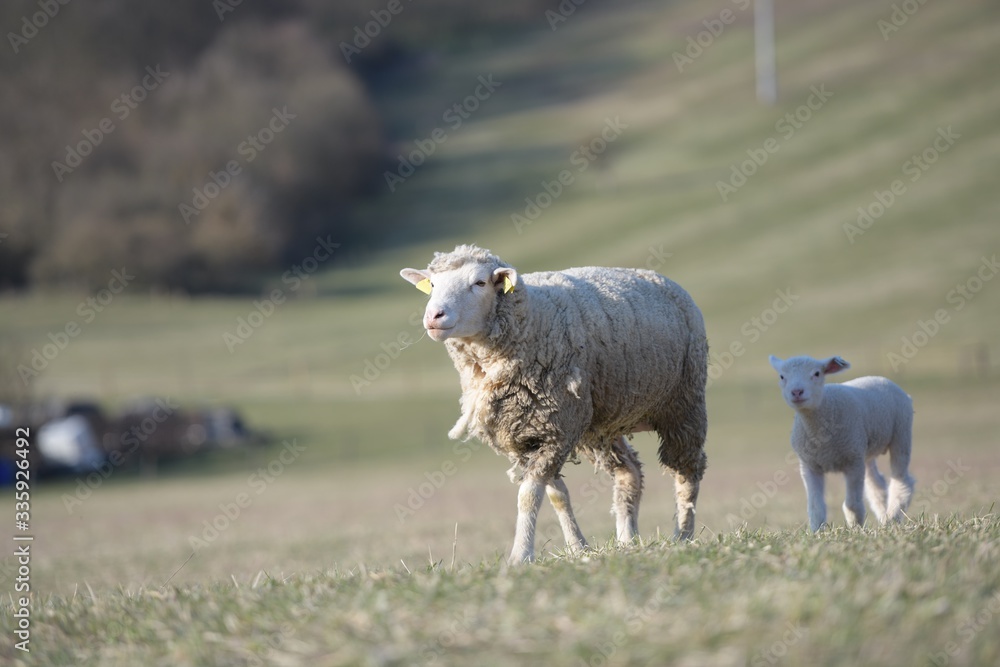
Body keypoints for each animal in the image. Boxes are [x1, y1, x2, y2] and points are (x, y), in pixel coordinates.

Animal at [400, 244, 708, 563]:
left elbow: (528, 496)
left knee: (687, 472)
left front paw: (520, 555)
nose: (434, 316)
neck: (532, 320)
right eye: (432, 284)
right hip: (601, 424)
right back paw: (628, 540)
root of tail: (661, 278)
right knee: (630, 472)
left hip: (683, 402)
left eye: (479, 282)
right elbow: (556, 495)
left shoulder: (555, 429)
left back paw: (683, 535)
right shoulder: (528, 435)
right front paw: (578, 547)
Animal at [768, 355, 915, 531]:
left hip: (901, 433)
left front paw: (856, 528)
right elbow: (815, 506)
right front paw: (817, 531)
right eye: (782, 376)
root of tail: (881, 378)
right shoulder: (810, 466)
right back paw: (883, 517)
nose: (796, 392)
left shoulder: (852, 462)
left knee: (902, 480)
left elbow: (852, 503)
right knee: (877, 485)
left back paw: (893, 517)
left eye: (817, 373)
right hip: (864, 448)